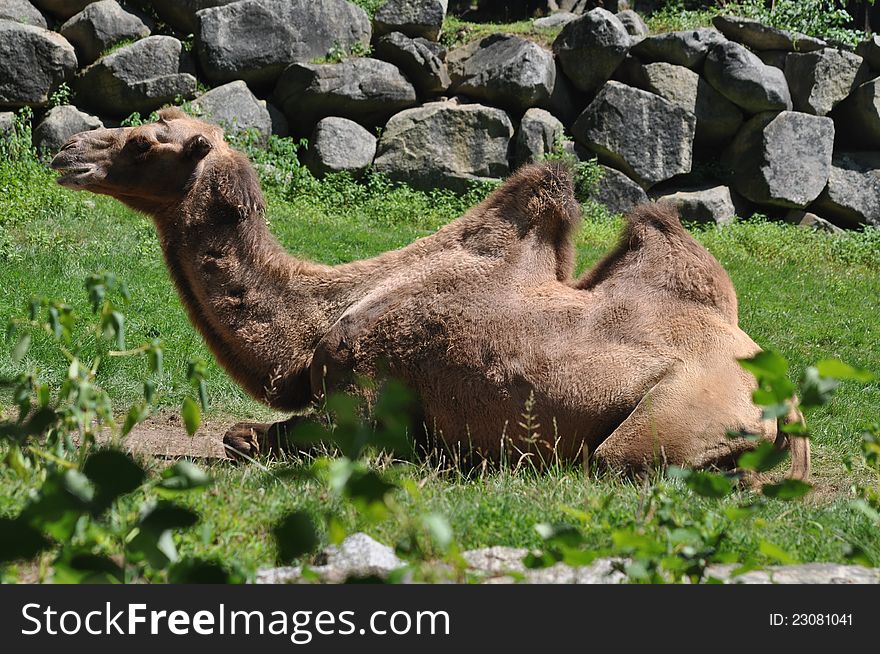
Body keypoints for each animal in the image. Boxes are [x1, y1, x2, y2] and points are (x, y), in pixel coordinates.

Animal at [51, 106, 808, 476]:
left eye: (144, 143)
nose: (65, 151)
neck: (320, 318)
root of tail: (790, 412)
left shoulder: (360, 399)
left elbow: (249, 437)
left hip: (664, 427)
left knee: (619, 462)